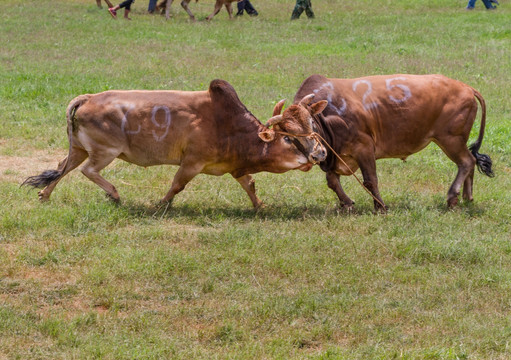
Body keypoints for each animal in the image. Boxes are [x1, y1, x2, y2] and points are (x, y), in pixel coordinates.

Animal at [22, 79, 326, 208]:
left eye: (312, 128)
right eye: (288, 138)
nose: (321, 153)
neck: (229, 127)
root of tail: (88, 97)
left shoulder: (235, 167)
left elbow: (249, 184)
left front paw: (260, 206)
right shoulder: (192, 162)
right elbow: (177, 185)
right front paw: (160, 205)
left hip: (79, 148)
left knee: (63, 167)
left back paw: (45, 194)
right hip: (105, 151)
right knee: (88, 171)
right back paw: (115, 194)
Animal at [292, 74, 496, 212]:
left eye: (312, 124)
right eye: (290, 136)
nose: (316, 155)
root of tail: (467, 88)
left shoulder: (364, 148)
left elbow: (370, 180)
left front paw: (380, 206)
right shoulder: (334, 156)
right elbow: (332, 181)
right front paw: (347, 203)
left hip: (451, 139)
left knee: (467, 161)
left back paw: (453, 197)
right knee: (470, 161)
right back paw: (467, 197)